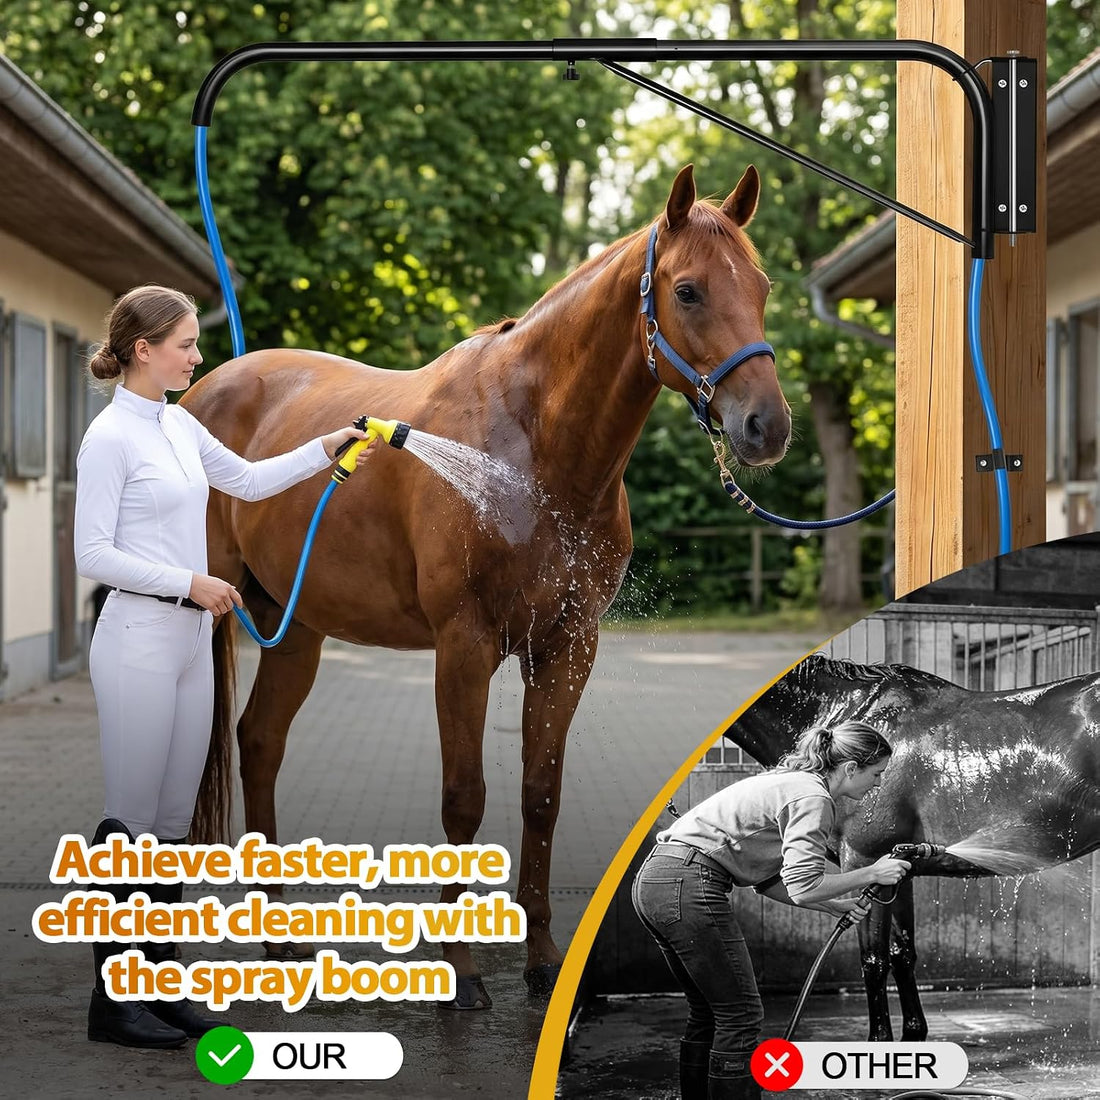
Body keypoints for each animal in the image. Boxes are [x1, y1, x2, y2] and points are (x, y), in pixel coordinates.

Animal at [182, 163, 792, 1009]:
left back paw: (280, 940)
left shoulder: (566, 646)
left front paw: (542, 962)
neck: (533, 449)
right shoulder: (463, 644)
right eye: (690, 290)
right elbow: (464, 797)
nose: (767, 426)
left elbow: (540, 795)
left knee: (259, 743)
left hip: (296, 627)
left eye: (761, 286)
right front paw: (462, 971)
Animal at [725, 653, 1100, 1040]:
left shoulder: (865, 858)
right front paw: (912, 1035)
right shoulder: (895, 869)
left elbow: (873, 960)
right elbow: (901, 953)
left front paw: (878, 1040)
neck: (845, 711)